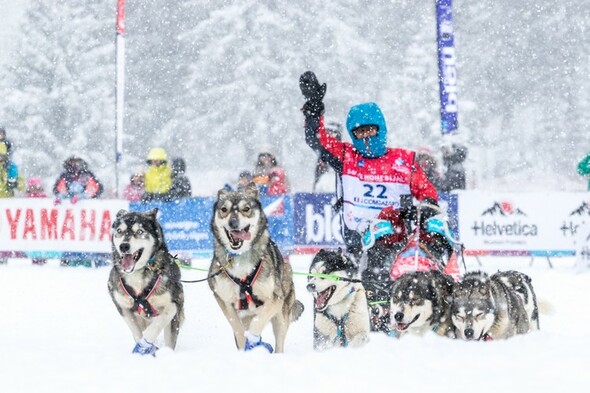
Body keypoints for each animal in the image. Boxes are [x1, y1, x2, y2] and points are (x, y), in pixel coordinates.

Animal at [108, 208, 185, 356]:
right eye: (119, 231)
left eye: (139, 231)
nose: (124, 246)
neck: (137, 274)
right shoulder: (122, 306)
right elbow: (136, 331)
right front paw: (141, 346)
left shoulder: (174, 303)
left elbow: (156, 326)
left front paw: (144, 345)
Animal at [209, 184, 306, 352]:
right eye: (224, 209)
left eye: (246, 208)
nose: (233, 223)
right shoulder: (224, 300)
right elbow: (237, 328)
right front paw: (245, 346)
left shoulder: (274, 299)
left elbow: (258, 321)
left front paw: (253, 338)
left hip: (281, 315)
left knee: (279, 342)